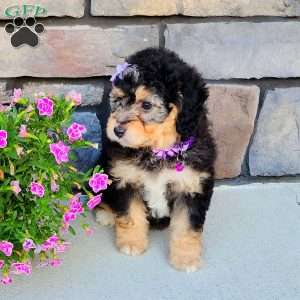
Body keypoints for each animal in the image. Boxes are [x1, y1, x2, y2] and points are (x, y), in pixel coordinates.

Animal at [97, 47, 217, 272]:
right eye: (118, 100)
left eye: (146, 105)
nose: (117, 130)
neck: (158, 151)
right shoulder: (124, 178)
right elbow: (131, 214)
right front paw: (132, 244)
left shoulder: (193, 185)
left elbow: (187, 226)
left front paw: (186, 259)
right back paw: (106, 213)